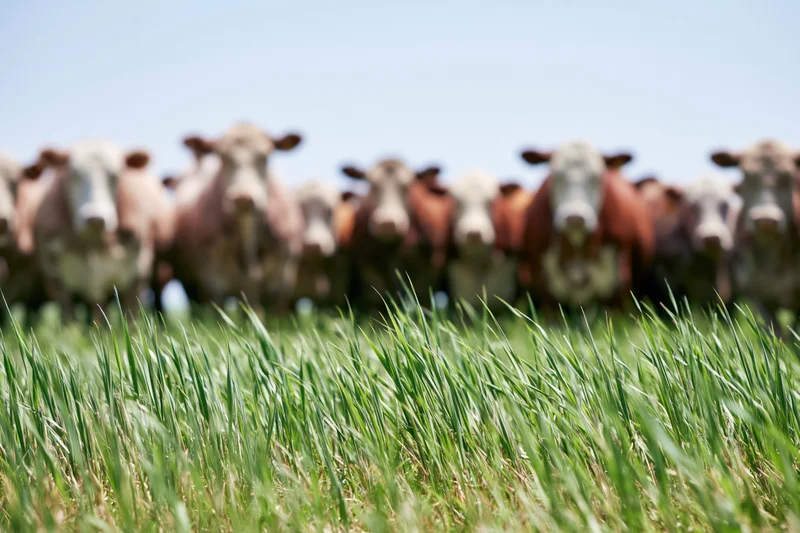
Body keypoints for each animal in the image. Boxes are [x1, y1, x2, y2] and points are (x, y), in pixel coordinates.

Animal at [23, 140, 174, 322]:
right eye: (74, 175)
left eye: (115, 176)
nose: (95, 218)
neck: (94, 243)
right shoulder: (55, 277)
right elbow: (69, 319)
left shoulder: (138, 271)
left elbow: (132, 317)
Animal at [341, 158, 452, 312]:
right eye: (371, 184)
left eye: (408, 186)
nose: (387, 223)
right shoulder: (368, 266)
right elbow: (378, 299)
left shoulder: (429, 266)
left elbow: (423, 299)